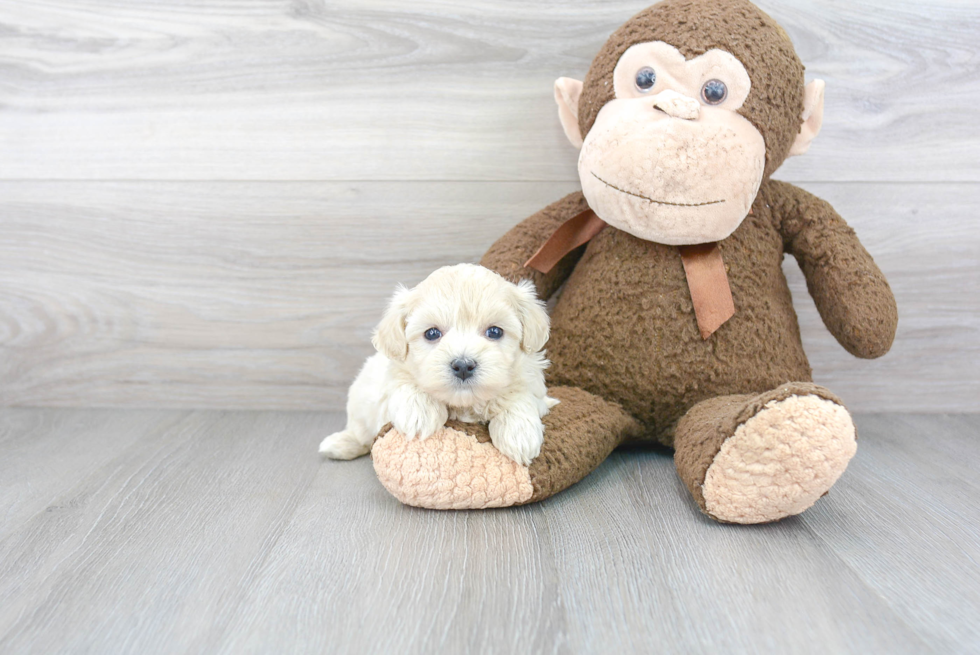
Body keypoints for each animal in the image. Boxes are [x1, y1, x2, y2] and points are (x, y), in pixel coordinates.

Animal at [318, 262, 556, 466]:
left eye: (495, 332)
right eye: (432, 333)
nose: (463, 365)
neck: (464, 404)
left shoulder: (534, 386)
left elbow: (520, 396)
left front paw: (519, 434)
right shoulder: (389, 378)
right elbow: (403, 383)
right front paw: (419, 412)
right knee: (361, 434)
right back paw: (339, 444)